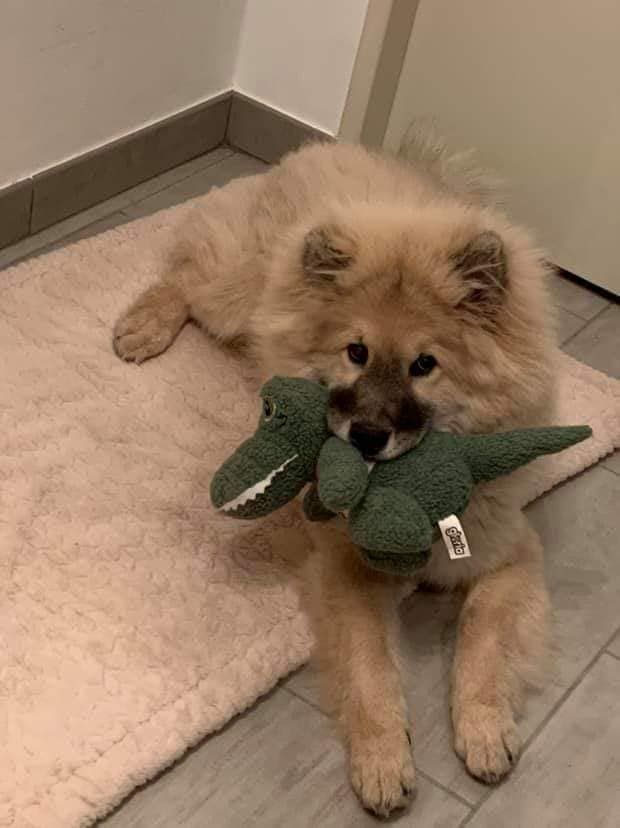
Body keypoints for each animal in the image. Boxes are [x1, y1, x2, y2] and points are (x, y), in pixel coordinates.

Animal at [113, 134, 556, 817]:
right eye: (356, 353)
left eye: (425, 364)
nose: (367, 437)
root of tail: (331, 146)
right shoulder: (345, 570)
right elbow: (370, 666)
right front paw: (383, 763)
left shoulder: (508, 554)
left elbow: (483, 635)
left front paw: (484, 730)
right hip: (236, 297)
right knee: (185, 277)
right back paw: (144, 328)